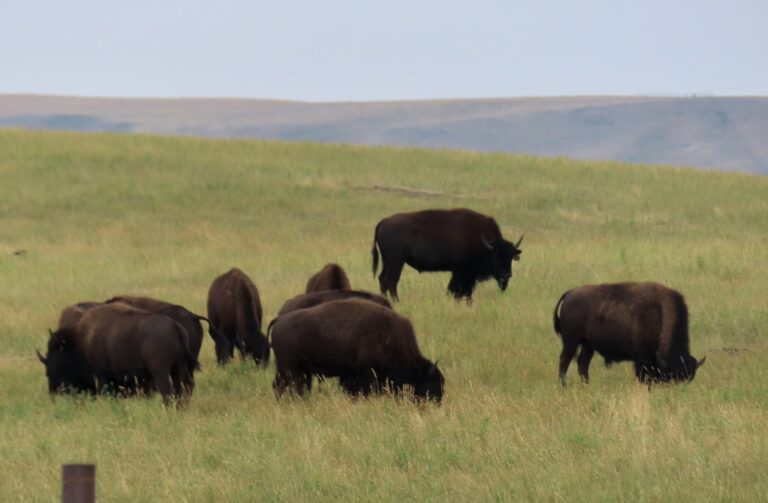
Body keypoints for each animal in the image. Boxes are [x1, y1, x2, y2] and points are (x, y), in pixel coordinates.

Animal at [36, 304, 200, 406]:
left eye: (54, 352)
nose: (53, 390)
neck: (81, 340)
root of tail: (175, 326)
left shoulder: (101, 376)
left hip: (161, 372)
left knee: (168, 392)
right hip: (178, 368)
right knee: (181, 389)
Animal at [270, 300, 444, 402]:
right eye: (433, 382)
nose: (438, 402)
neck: (387, 337)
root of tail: (279, 320)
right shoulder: (365, 374)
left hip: (297, 369)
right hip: (287, 368)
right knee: (281, 386)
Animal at [370, 210, 520, 304]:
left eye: (511, 257)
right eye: (496, 256)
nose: (507, 275)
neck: (484, 243)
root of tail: (383, 222)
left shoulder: (465, 273)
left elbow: (463, 290)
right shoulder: (462, 271)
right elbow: (458, 289)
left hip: (387, 261)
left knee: (383, 279)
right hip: (397, 262)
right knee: (391, 281)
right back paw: (397, 302)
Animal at [552, 284, 708, 386]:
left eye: (689, 378)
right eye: (671, 376)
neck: (659, 314)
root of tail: (570, 293)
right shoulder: (641, 357)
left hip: (588, 345)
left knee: (582, 364)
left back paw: (586, 384)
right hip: (571, 341)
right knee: (564, 360)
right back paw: (563, 385)